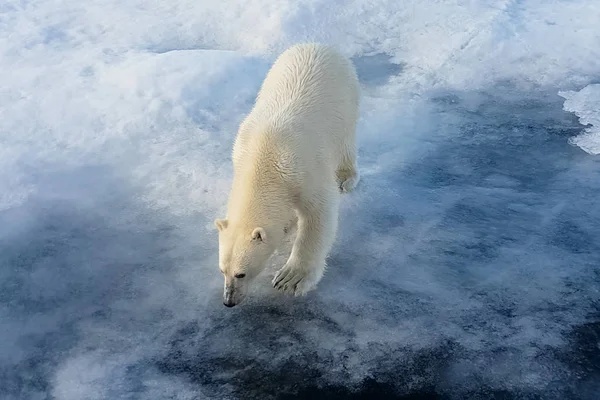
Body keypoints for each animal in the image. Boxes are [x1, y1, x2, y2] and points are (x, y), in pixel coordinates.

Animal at [214, 43, 358, 306]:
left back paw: (346, 177)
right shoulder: (240, 149)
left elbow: (319, 215)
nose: (228, 301)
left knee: (346, 143)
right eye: (222, 270)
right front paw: (288, 224)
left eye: (241, 273)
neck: (264, 155)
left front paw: (291, 279)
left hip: (345, 101)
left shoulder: (304, 169)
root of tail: (319, 45)